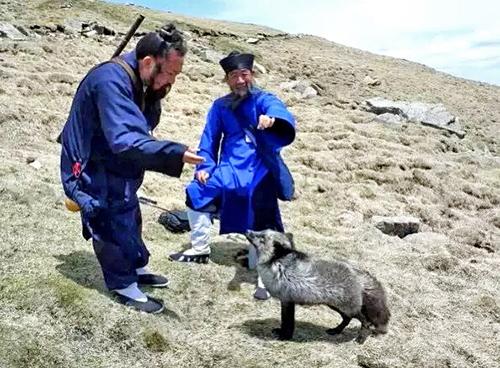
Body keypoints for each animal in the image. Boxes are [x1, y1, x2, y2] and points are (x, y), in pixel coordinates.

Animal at [246, 229, 390, 344]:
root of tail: (357, 273)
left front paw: (285, 337)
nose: (248, 231)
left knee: (366, 322)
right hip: (337, 306)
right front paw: (282, 333)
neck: (279, 265)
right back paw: (336, 331)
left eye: (261, 238)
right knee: (347, 319)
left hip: (349, 308)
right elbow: (285, 321)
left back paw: (361, 338)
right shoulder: (287, 301)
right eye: (260, 231)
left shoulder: (287, 300)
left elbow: (287, 322)